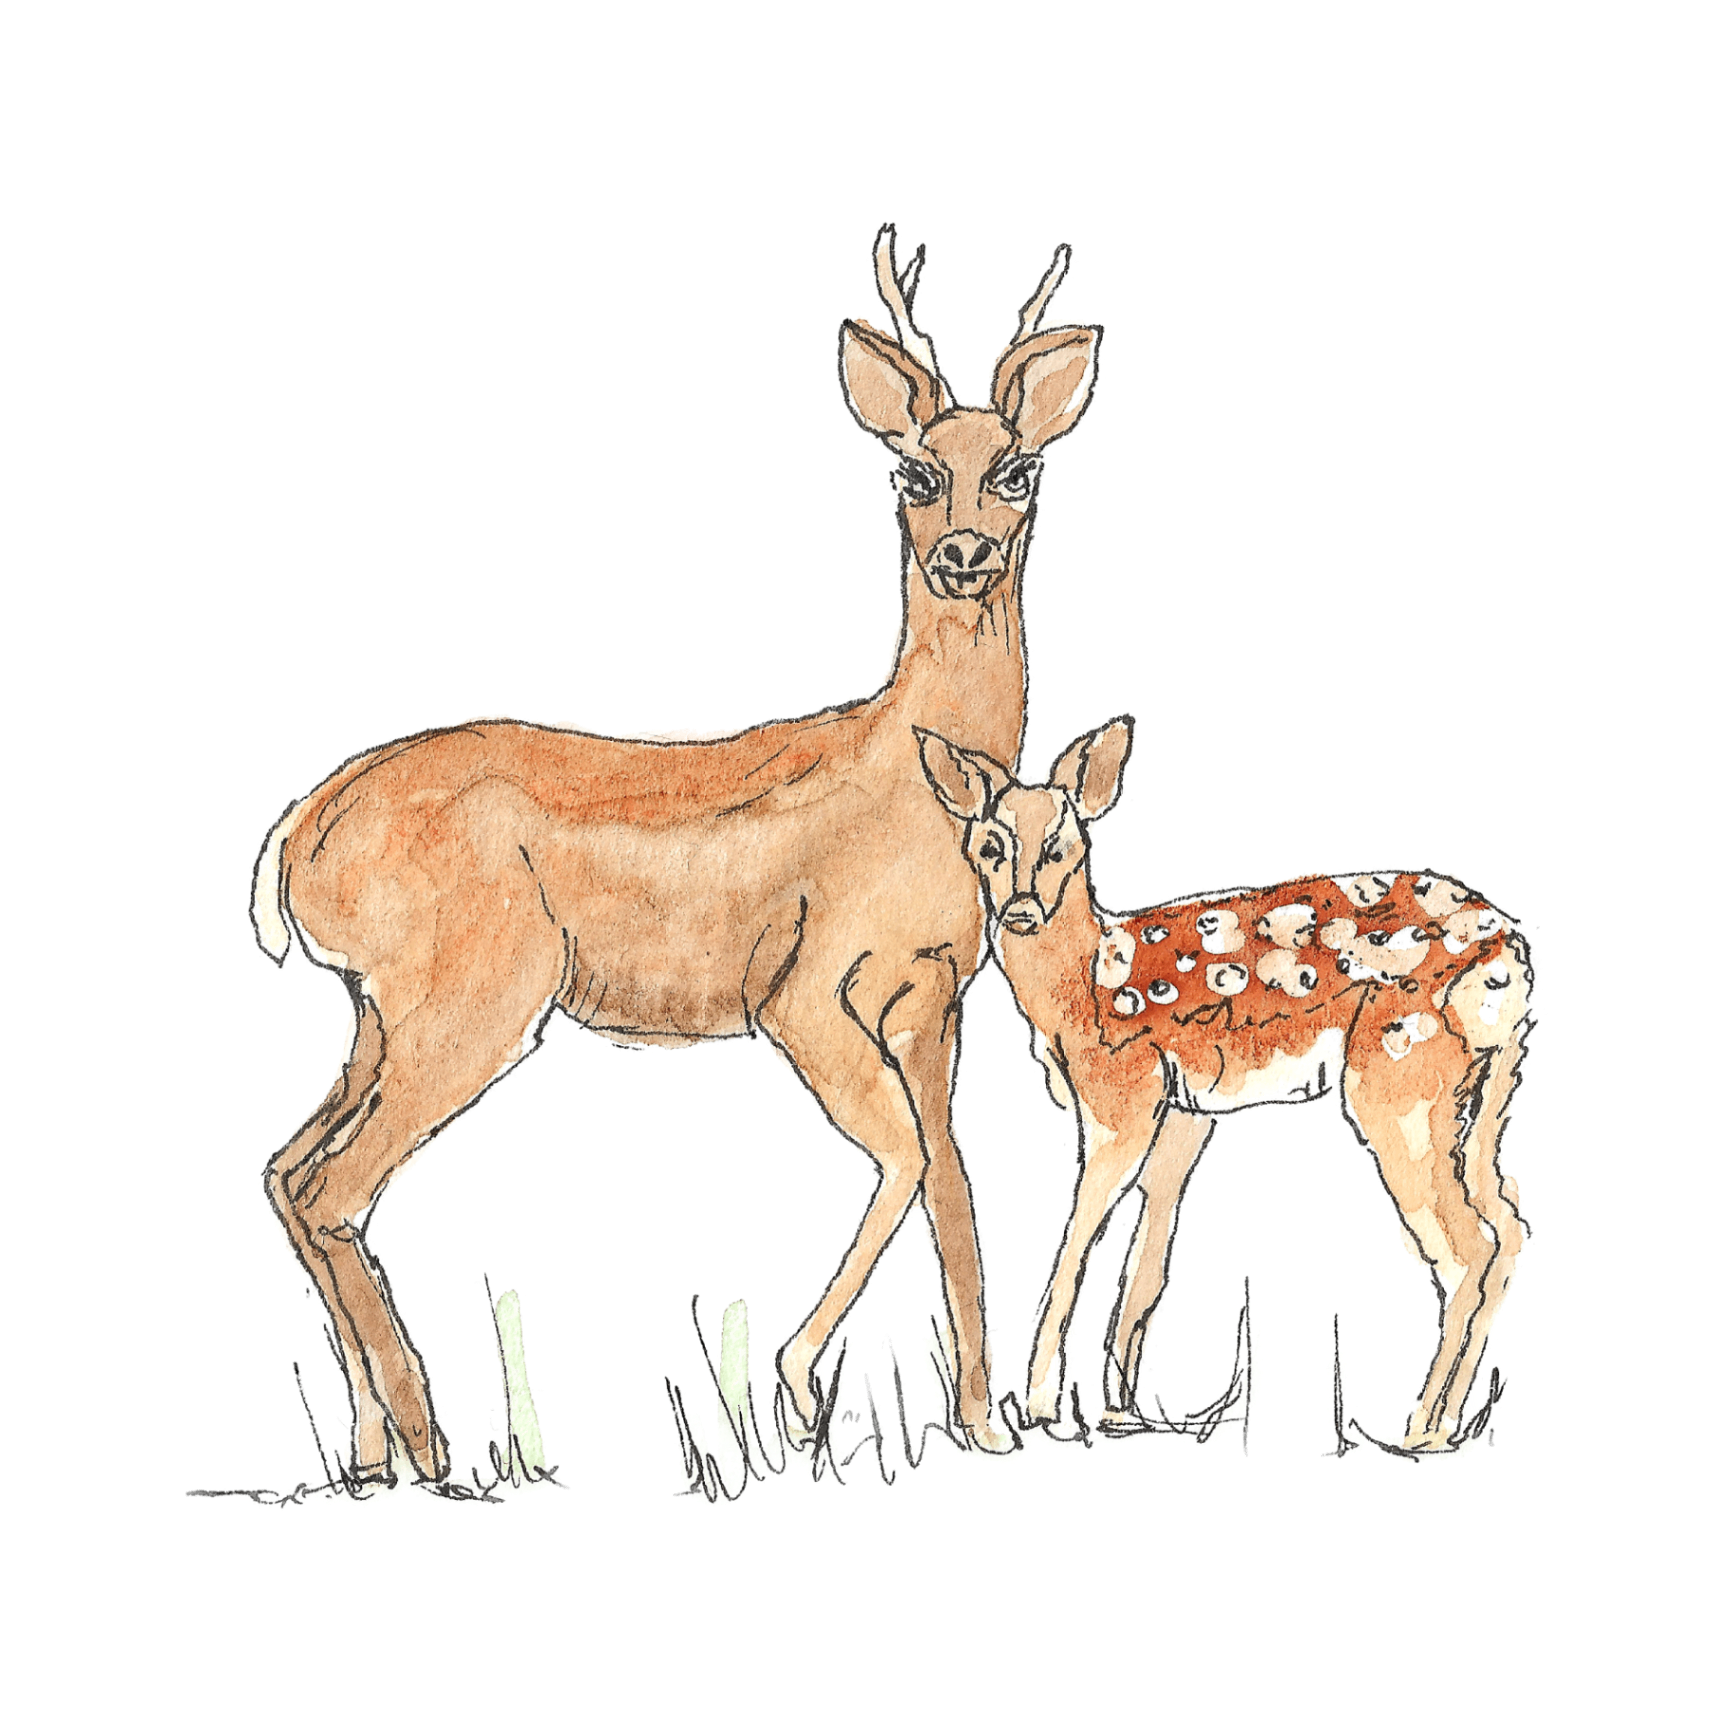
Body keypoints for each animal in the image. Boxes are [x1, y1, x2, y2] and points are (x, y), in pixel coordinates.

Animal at [242, 222, 1112, 1483]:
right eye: (910, 473)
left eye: (1015, 472)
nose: (960, 554)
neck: (905, 783)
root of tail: (297, 835)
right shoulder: (802, 988)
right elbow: (902, 1159)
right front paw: (797, 1396)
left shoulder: (935, 1001)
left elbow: (955, 1190)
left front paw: (987, 1426)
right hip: (478, 994)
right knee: (337, 1186)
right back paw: (430, 1449)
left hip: (378, 1011)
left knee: (291, 1170)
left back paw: (374, 1452)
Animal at [916, 715, 1544, 1456]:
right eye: (988, 846)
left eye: (1061, 847)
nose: (1020, 911)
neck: (1079, 988)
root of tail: (1517, 955)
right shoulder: (1188, 1114)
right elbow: (1149, 1258)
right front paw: (1120, 1412)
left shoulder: (1119, 1098)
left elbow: (1075, 1243)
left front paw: (1043, 1412)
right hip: (1482, 1097)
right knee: (1513, 1222)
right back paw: (1447, 1417)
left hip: (1397, 1082)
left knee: (1466, 1246)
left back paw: (1425, 1428)